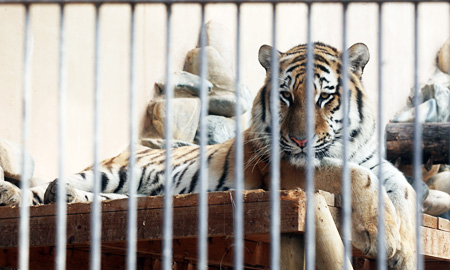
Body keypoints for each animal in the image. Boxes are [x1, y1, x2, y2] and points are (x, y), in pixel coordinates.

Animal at [0, 41, 414, 268]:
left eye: (325, 97)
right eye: (285, 96)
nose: (298, 141)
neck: (347, 143)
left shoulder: (374, 162)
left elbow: (403, 190)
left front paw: (403, 250)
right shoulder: (290, 168)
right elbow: (359, 178)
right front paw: (382, 238)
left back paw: (62, 196)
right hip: (111, 171)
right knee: (49, 187)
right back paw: (23, 193)